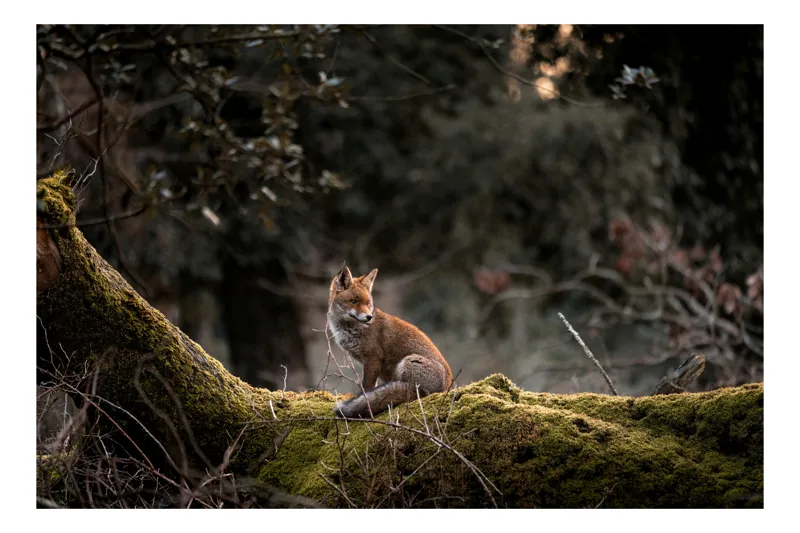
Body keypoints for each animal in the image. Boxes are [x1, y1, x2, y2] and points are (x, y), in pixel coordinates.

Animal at [327, 265, 453, 418]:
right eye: (354, 301)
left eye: (367, 303)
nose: (369, 317)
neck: (351, 329)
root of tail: (446, 387)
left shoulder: (373, 358)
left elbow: (367, 387)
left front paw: (364, 400)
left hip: (409, 362)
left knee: (414, 393)